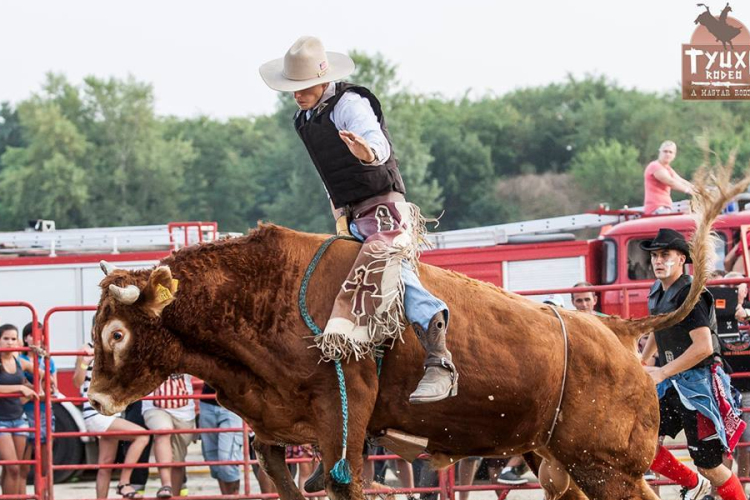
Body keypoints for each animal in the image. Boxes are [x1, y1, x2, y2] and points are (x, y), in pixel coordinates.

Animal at [88, 179, 740, 500]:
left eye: (117, 332)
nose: (94, 398)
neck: (263, 296)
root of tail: (615, 330)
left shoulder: (343, 421)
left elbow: (344, 483)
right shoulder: (275, 427)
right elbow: (283, 477)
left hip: (606, 465)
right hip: (556, 460)